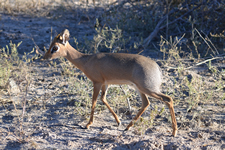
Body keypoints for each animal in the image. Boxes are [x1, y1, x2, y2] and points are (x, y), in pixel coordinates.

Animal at [43, 28, 178, 137]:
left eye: (55, 48)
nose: (45, 57)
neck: (86, 60)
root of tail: (157, 67)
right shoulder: (105, 83)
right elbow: (103, 99)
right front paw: (118, 122)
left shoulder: (97, 83)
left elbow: (94, 101)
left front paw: (88, 124)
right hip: (140, 89)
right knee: (146, 103)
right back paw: (127, 127)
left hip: (147, 89)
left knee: (168, 99)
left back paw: (174, 132)